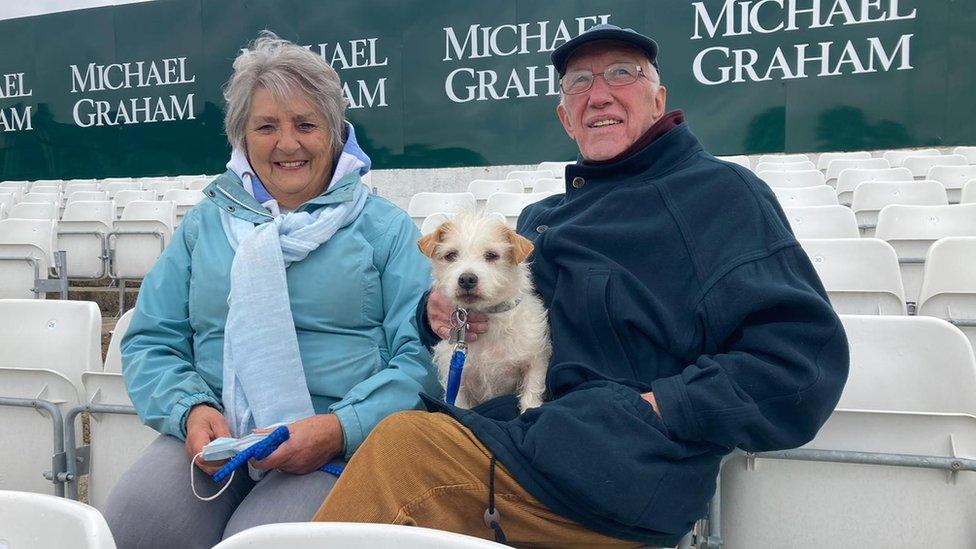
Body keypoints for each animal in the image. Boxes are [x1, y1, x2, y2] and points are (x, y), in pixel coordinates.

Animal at [418, 213, 552, 412]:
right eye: (451, 255)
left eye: (492, 255)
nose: (467, 279)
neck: (490, 319)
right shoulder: (457, 379)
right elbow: (458, 405)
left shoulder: (535, 360)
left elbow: (531, 391)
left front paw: (529, 410)